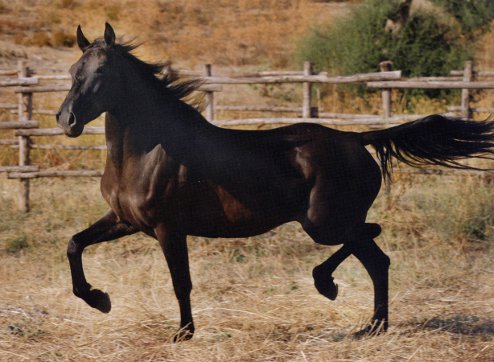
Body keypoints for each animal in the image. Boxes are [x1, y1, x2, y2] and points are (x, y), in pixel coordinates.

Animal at [57, 24, 494, 340]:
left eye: (101, 72)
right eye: (73, 72)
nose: (67, 120)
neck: (146, 152)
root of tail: (356, 138)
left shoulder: (168, 228)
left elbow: (181, 282)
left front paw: (183, 334)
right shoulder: (126, 220)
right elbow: (75, 244)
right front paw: (99, 299)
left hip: (324, 223)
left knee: (372, 242)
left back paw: (332, 289)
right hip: (330, 223)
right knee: (376, 255)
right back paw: (370, 326)